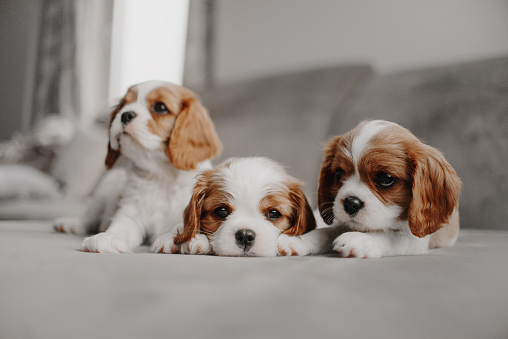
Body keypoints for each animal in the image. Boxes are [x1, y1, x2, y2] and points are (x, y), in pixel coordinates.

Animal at [53, 81, 222, 254]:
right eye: (123, 104)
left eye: (160, 107)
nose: (125, 115)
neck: (160, 176)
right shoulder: (130, 214)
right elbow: (121, 226)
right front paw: (108, 237)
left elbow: (182, 224)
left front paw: (173, 238)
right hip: (103, 193)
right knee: (89, 217)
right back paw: (72, 224)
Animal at [278, 121, 460, 258]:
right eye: (339, 173)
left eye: (385, 178)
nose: (351, 203)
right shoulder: (343, 223)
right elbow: (325, 231)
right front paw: (297, 240)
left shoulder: (416, 238)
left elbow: (390, 236)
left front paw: (359, 239)